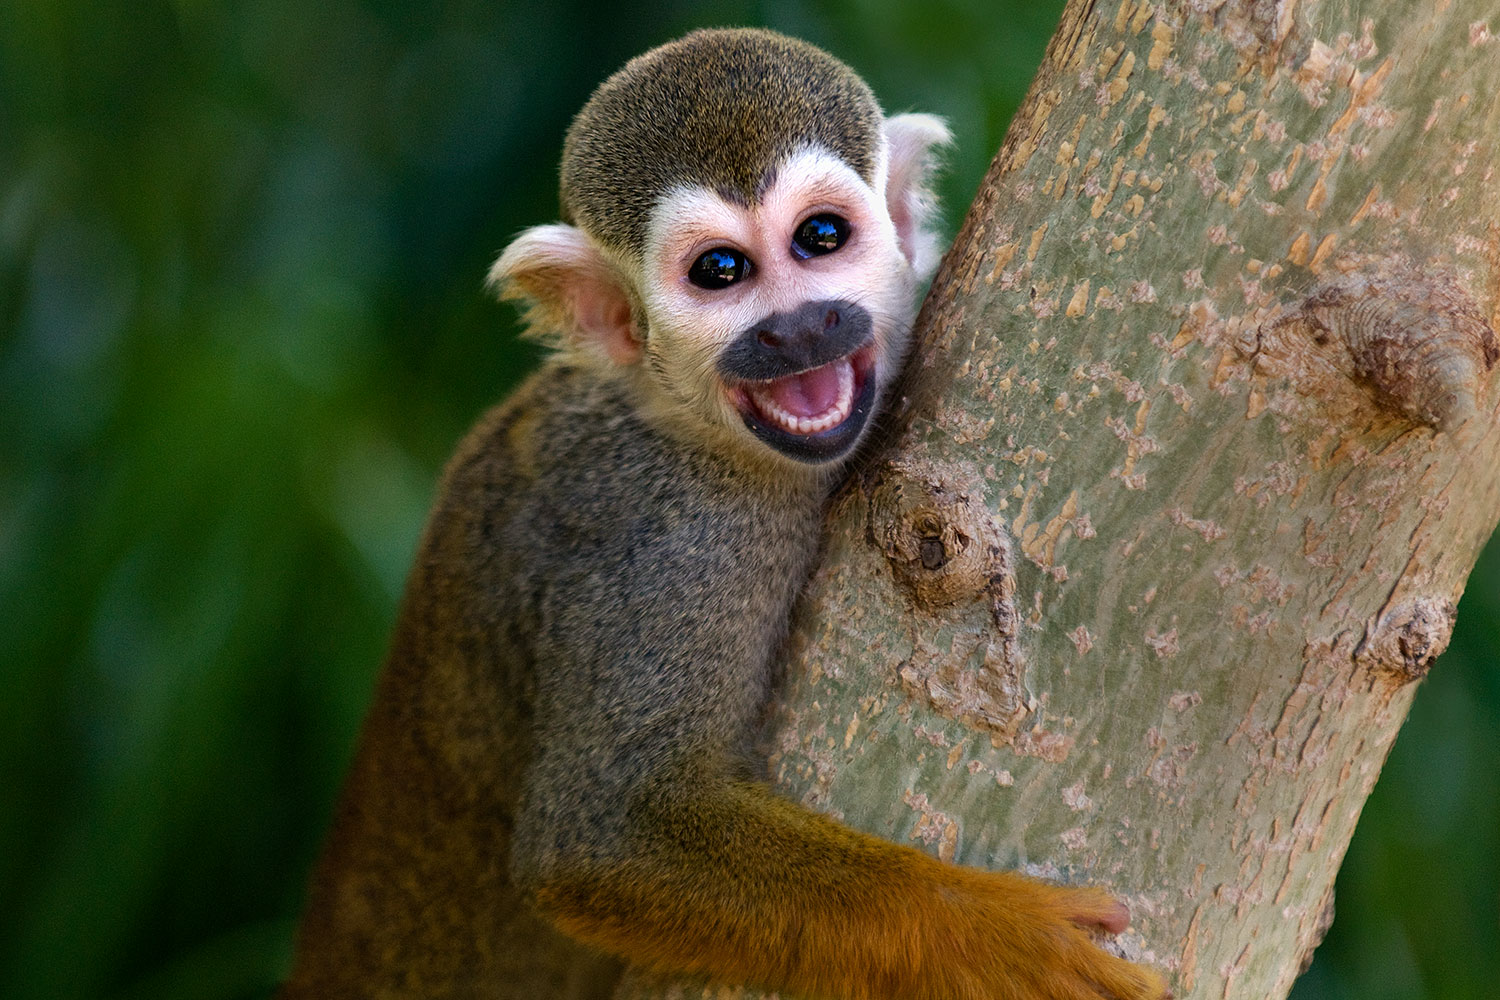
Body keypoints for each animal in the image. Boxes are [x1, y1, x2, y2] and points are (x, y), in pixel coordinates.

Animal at [281, 27, 1169, 1000]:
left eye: (820, 238)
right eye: (721, 272)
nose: (798, 327)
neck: (692, 431)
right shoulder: (665, 543)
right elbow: (603, 834)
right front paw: (996, 937)